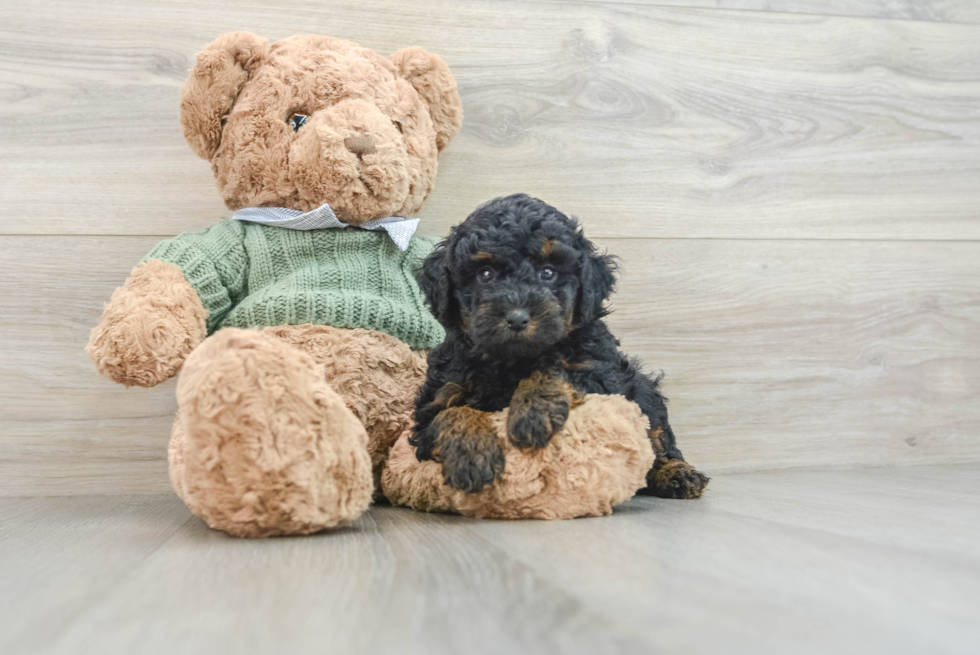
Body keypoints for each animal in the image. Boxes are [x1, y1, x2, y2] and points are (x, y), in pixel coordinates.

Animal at [410, 192, 708, 500]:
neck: (510, 362)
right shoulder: (436, 396)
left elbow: (557, 368)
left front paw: (532, 413)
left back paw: (677, 473)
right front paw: (471, 456)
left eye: (548, 272)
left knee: (656, 436)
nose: (517, 317)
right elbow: (449, 413)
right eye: (485, 273)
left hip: (642, 389)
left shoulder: (600, 372)